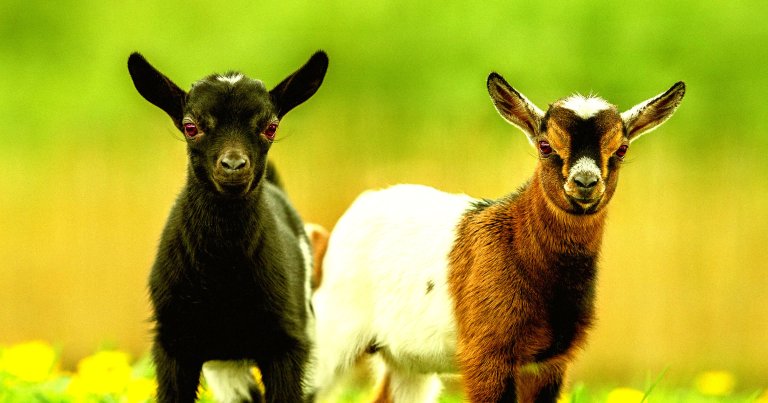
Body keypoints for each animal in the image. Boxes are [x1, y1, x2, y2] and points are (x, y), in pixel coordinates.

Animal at [127, 50, 328, 403]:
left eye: (270, 127)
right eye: (191, 127)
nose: (233, 166)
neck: (222, 278)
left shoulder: (288, 344)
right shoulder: (174, 344)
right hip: (223, 365)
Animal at [310, 75, 685, 402]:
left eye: (621, 149)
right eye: (545, 145)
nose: (585, 183)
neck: (516, 241)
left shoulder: (550, 361)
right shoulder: (487, 354)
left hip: (406, 360)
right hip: (332, 330)